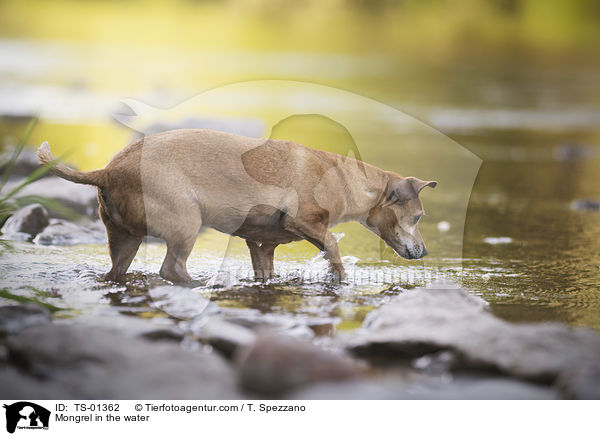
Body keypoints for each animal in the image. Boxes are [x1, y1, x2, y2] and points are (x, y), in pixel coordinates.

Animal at [37, 129, 438, 282]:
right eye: (418, 217)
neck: (343, 177)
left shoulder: (261, 244)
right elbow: (334, 249)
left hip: (123, 239)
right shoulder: (308, 224)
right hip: (186, 223)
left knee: (117, 270)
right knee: (171, 268)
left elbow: (265, 271)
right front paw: (340, 279)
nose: (424, 253)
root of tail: (107, 171)